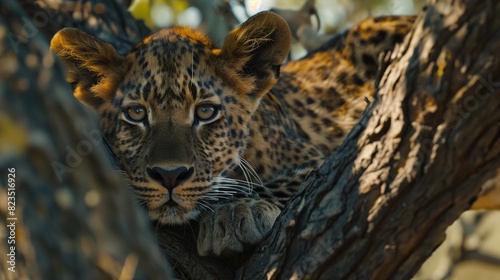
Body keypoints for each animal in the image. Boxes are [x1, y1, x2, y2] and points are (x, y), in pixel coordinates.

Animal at [50, 12, 416, 258]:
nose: (170, 176)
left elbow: (303, 178)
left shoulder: (332, 155)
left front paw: (238, 212)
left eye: (205, 112)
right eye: (136, 113)